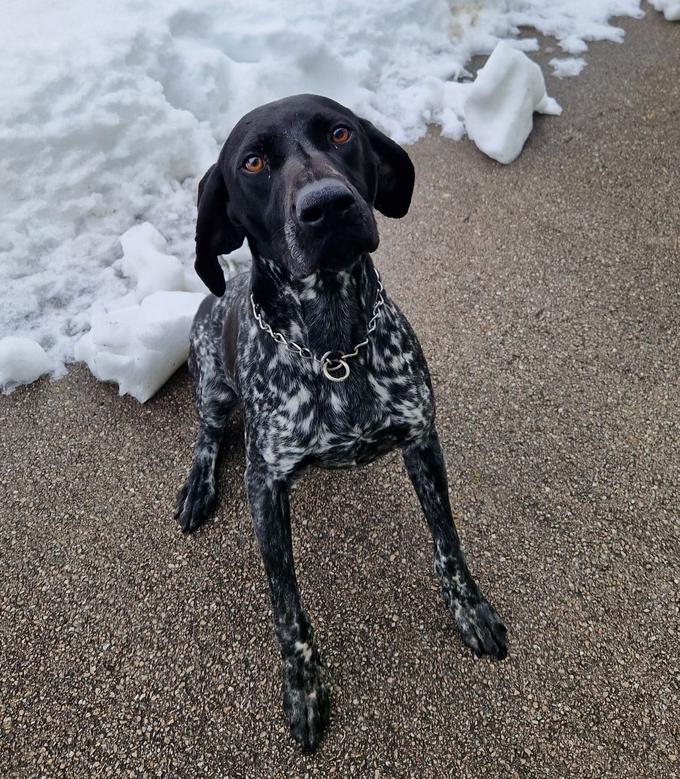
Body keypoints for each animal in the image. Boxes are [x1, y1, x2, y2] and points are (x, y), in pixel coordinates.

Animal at [175, 94, 504, 752]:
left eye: (340, 133)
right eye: (253, 162)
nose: (327, 205)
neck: (333, 347)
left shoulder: (422, 439)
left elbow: (448, 543)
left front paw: (470, 609)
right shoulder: (264, 489)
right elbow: (287, 606)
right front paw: (303, 686)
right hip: (213, 383)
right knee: (207, 432)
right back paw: (198, 483)